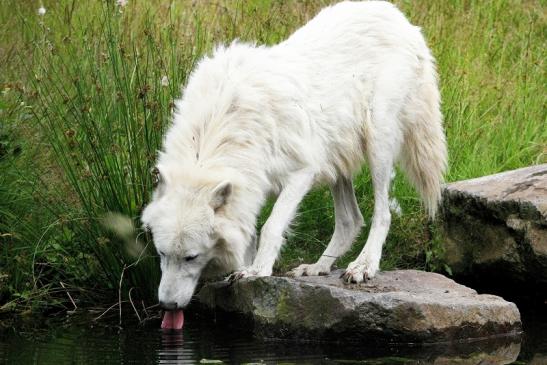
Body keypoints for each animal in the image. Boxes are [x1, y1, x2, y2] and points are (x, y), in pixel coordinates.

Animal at [140, 0, 446, 318]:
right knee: (351, 219)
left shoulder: (302, 172)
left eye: (191, 257)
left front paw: (258, 271)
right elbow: (250, 233)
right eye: (161, 253)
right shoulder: (252, 187)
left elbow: (271, 226)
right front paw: (247, 269)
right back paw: (318, 267)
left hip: (378, 142)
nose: (167, 305)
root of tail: (401, 19)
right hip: (335, 160)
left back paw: (363, 265)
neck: (224, 125)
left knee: (382, 214)